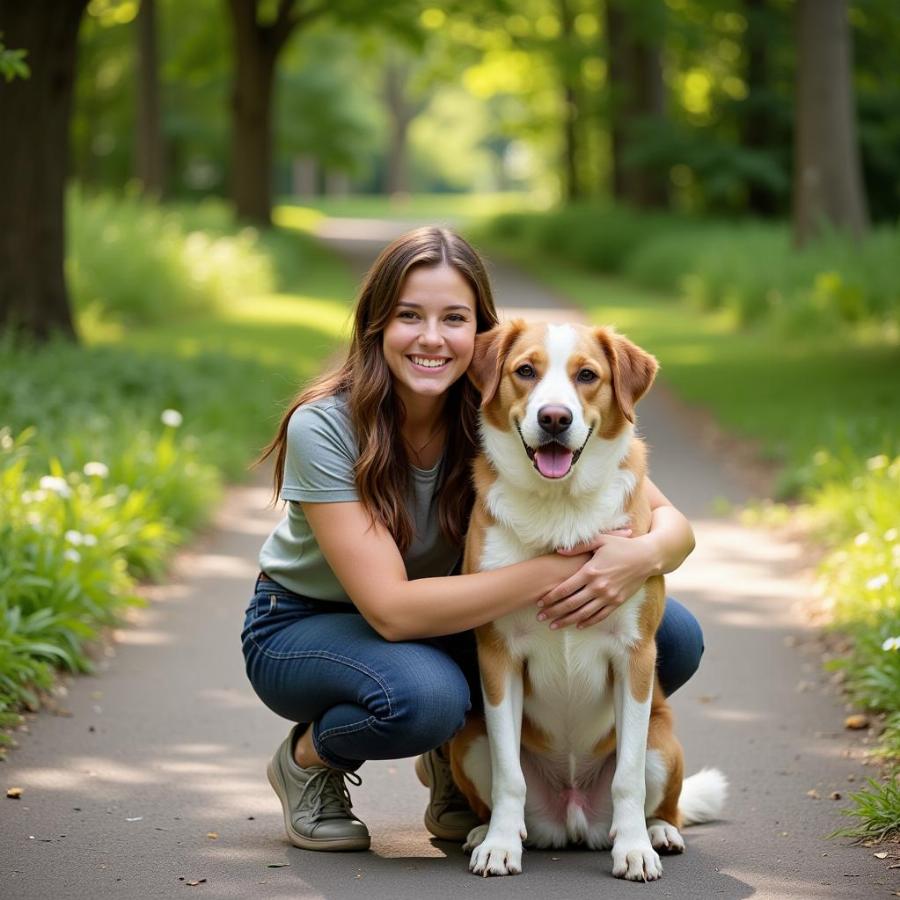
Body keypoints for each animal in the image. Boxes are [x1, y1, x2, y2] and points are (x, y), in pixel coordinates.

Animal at [446, 322, 728, 880]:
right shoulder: (498, 657)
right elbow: (510, 776)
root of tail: (573, 819)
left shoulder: (634, 656)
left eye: (587, 376)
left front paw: (634, 849)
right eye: (525, 370)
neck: (560, 507)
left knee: (663, 801)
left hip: (665, 743)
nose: (555, 418)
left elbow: (628, 777)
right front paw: (500, 845)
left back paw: (657, 832)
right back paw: (482, 832)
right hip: (468, 738)